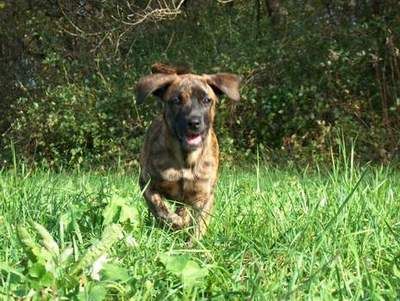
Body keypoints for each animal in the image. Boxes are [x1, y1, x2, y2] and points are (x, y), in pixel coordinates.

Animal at [136, 63, 241, 237]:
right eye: (176, 100)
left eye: (206, 100)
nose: (194, 122)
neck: (186, 159)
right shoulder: (147, 182)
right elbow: (159, 208)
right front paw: (175, 222)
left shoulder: (204, 196)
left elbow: (199, 225)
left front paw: (194, 241)